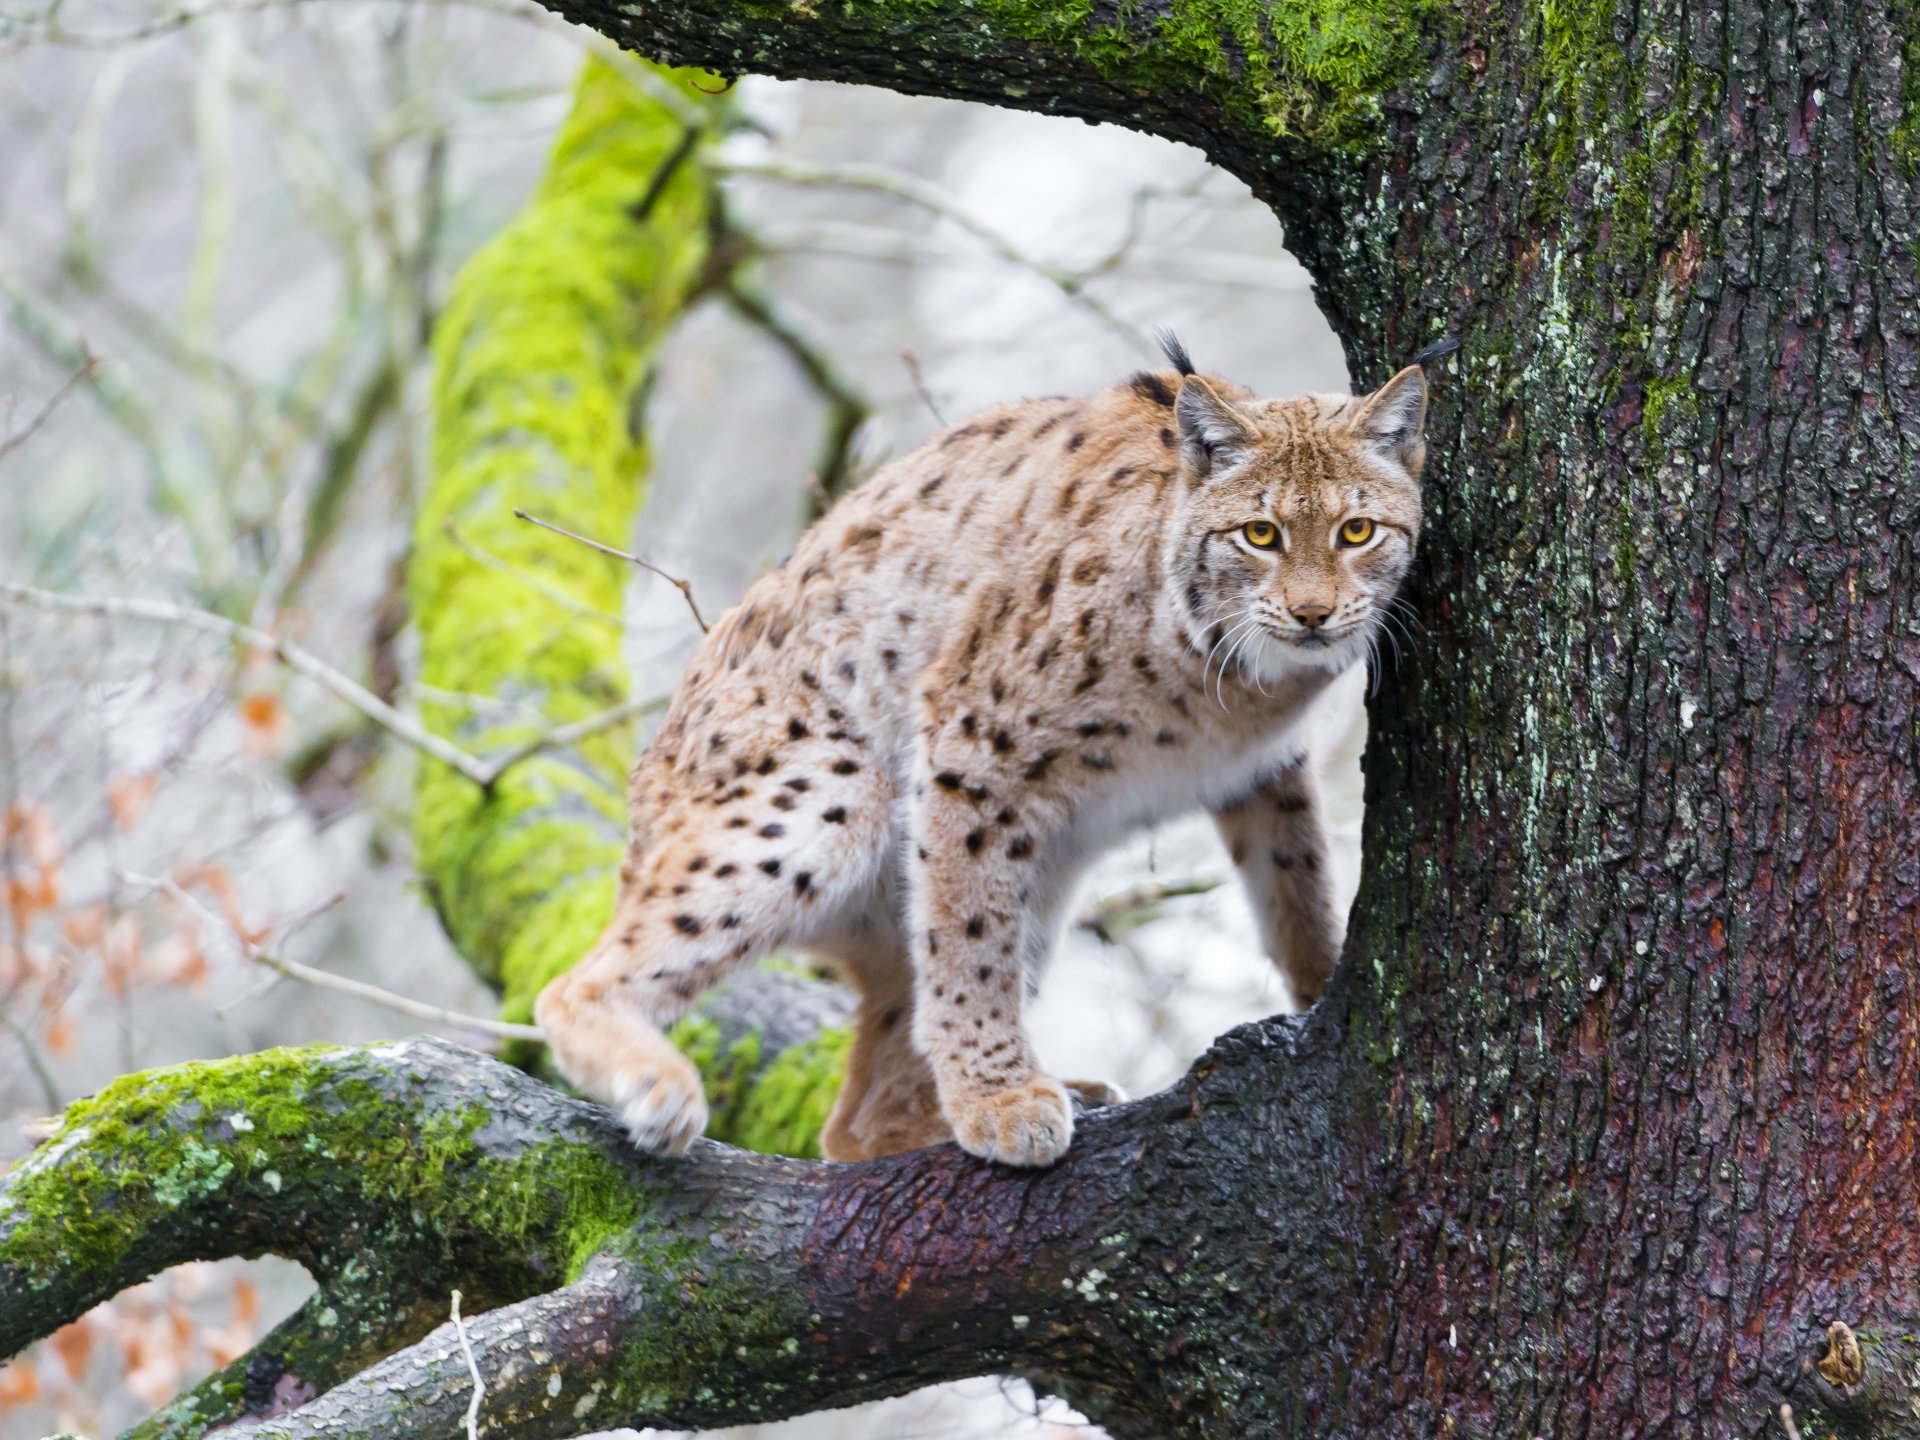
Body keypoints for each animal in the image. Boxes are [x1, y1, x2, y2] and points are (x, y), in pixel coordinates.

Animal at [536, 335, 1431, 1167]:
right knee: (572, 987)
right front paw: (998, 1098)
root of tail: (641, 793)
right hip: (839, 789)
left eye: (1356, 532)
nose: (1313, 614)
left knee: (856, 1124)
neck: (1237, 679)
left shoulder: (1265, 763)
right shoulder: (970, 738)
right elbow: (968, 937)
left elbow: (1295, 874)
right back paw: (659, 1083)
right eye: (1260, 535)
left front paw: (1323, 979)